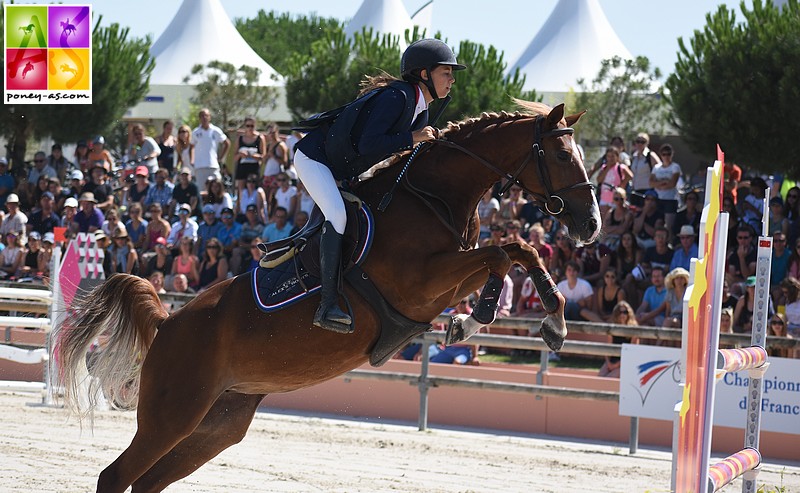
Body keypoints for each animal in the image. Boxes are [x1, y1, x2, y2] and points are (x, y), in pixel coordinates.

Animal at [56, 101, 600, 492]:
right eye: (561, 156)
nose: (591, 225)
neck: (432, 197)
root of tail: (168, 324)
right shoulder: (421, 281)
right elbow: (504, 253)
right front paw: (488, 318)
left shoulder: (443, 278)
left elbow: (515, 251)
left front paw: (542, 322)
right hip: (173, 415)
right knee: (116, 477)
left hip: (217, 424)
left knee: (146, 482)